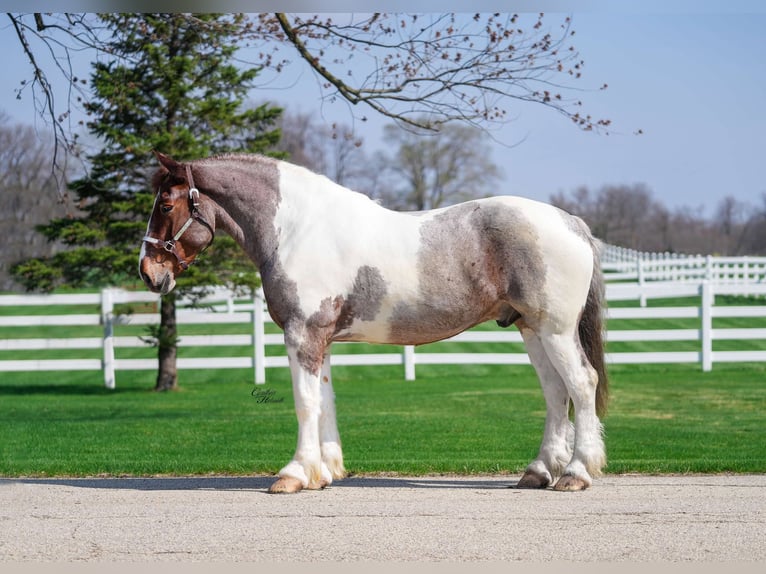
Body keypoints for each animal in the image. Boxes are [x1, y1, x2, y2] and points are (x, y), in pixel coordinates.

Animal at [139, 152, 608, 494]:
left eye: (165, 203)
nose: (147, 272)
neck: (296, 229)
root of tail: (572, 223)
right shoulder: (321, 339)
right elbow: (325, 401)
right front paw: (324, 473)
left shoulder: (302, 334)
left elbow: (305, 402)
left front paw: (293, 475)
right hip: (532, 330)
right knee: (555, 393)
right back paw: (538, 472)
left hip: (555, 331)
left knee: (581, 384)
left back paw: (575, 473)